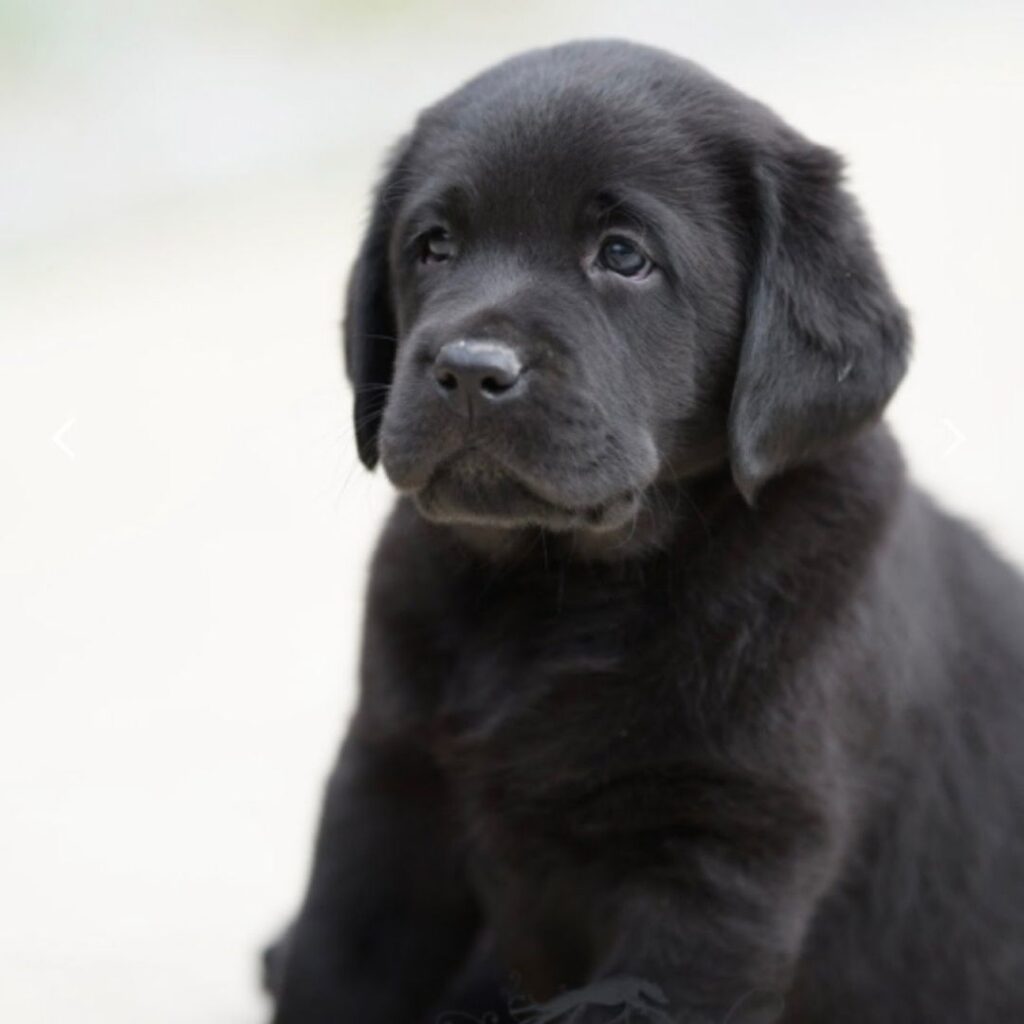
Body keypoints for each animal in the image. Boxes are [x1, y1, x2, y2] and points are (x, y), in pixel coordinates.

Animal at [264, 39, 1024, 1024]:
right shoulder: (387, 788)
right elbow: (335, 966)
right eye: (433, 245)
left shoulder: (727, 863)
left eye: (623, 256)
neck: (559, 593)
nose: (469, 370)